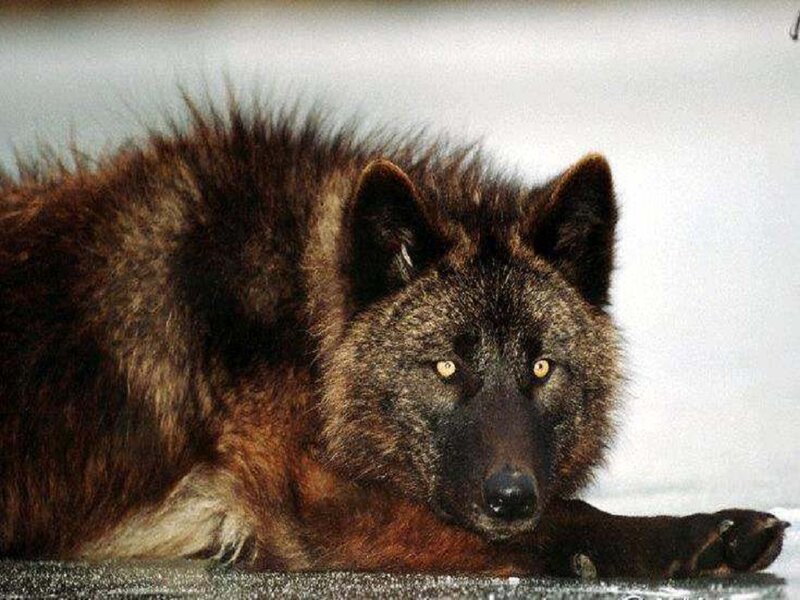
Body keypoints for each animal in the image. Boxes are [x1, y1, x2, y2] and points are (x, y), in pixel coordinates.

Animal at [0, 100, 787, 577]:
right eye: (443, 368)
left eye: (540, 368)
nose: (510, 497)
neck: (305, 322)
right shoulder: (319, 514)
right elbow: (570, 517)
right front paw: (703, 534)